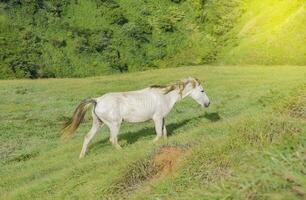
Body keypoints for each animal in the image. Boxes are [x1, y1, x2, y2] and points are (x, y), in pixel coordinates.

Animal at [62, 76, 210, 158]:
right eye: (202, 91)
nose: (208, 103)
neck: (165, 96)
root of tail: (97, 100)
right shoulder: (156, 118)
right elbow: (158, 134)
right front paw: (148, 144)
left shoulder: (162, 118)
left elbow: (164, 133)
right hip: (114, 124)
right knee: (113, 140)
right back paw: (124, 151)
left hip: (98, 123)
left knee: (87, 137)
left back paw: (82, 157)